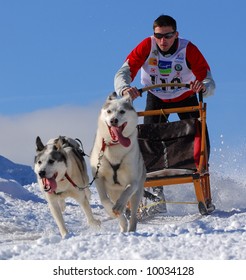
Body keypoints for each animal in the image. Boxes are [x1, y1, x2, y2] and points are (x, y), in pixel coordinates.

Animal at [90, 93, 146, 231]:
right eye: (109, 111)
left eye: (122, 111)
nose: (113, 120)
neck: (115, 148)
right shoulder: (98, 176)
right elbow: (104, 200)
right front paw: (113, 211)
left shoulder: (134, 181)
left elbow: (128, 191)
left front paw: (119, 206)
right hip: (113, 191)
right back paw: (122, 225)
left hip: (138, 192)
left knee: (133, 213)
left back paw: (131, 229)